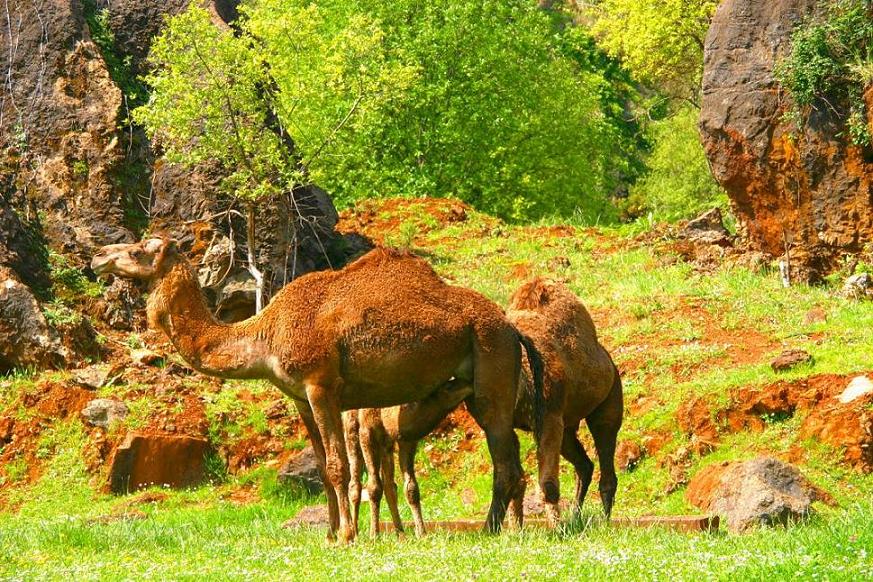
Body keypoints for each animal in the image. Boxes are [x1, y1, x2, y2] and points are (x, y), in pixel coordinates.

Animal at [88, 236, 524, 544]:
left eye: (136, 249)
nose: (97, 256)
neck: (265, 335)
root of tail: (509, 324)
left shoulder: (321, 386)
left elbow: (337, 465)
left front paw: (348, 535)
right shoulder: (299, 397)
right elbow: (322, 466)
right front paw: (330, 534)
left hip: (491, 357)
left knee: (502, 456)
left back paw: (491, 529)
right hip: (478, 380)